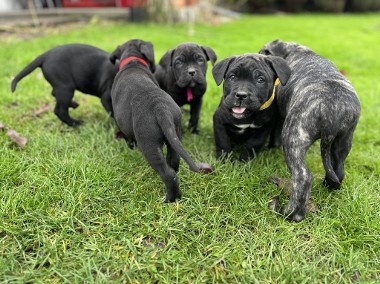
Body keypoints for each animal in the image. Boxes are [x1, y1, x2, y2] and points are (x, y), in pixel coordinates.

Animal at [110, 39, 214, 202]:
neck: (133, 62)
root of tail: (161, 110)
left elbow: (127, 136)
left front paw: (130, 146)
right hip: (175, 134)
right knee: (173, 162)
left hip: (150, 145)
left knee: (168, 173)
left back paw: (170, 199)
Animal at [260, 39, 360, 222]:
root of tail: (330, 111)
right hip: (343, 140)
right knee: (338, 170)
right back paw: (329, 186)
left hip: (293, 138)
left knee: (303, 177)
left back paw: (291, 213)